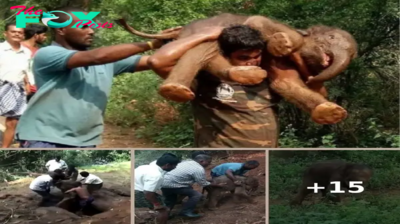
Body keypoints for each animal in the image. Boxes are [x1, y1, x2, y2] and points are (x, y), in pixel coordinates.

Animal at [116, 12, 356, 124]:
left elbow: (285, 83)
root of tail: (181, 29)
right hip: (200, 34)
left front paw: (330, 111)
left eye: (353, 54)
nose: (313, 80)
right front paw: (283, 43)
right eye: (331, 38)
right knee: (207, 47)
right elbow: (258, 21)